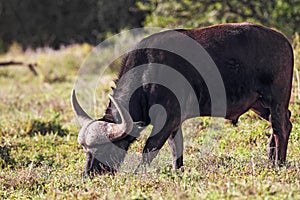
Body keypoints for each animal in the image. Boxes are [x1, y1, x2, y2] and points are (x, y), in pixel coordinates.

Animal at [71, 22, 292, 177]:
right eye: (86, 151)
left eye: (104, 148)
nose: (89, 174)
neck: (147, 74)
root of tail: (283, 41)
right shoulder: (174, 123)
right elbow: (176, 149)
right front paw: (178, 172)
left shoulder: (167, 120)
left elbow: (149, 149)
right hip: (260, 105)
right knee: (283, 124)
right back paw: (270, 160)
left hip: (277, 99)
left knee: (280, 128)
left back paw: (278, 164)